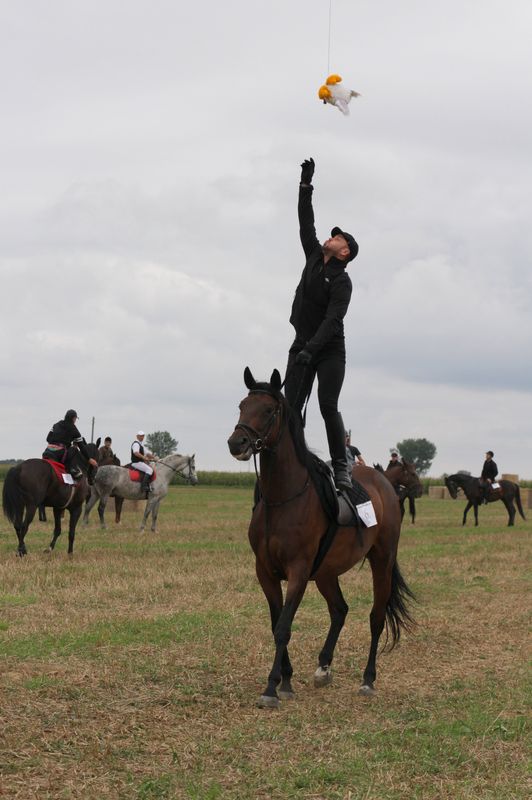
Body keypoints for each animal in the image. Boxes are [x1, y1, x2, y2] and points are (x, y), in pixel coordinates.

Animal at [225, 368, 416, 708]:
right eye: (242, 406)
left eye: (269, 410)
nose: (237, 442)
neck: (282, 499)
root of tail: (384, 482)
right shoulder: (265, 572)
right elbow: (276, 622)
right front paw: (286, 679)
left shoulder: (298, 571)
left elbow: (284, 627)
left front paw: (272, 687)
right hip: (327, 572)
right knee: (340, 610)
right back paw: (323, 667)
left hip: (381, 560)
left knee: (376, 617)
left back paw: (368, 679)